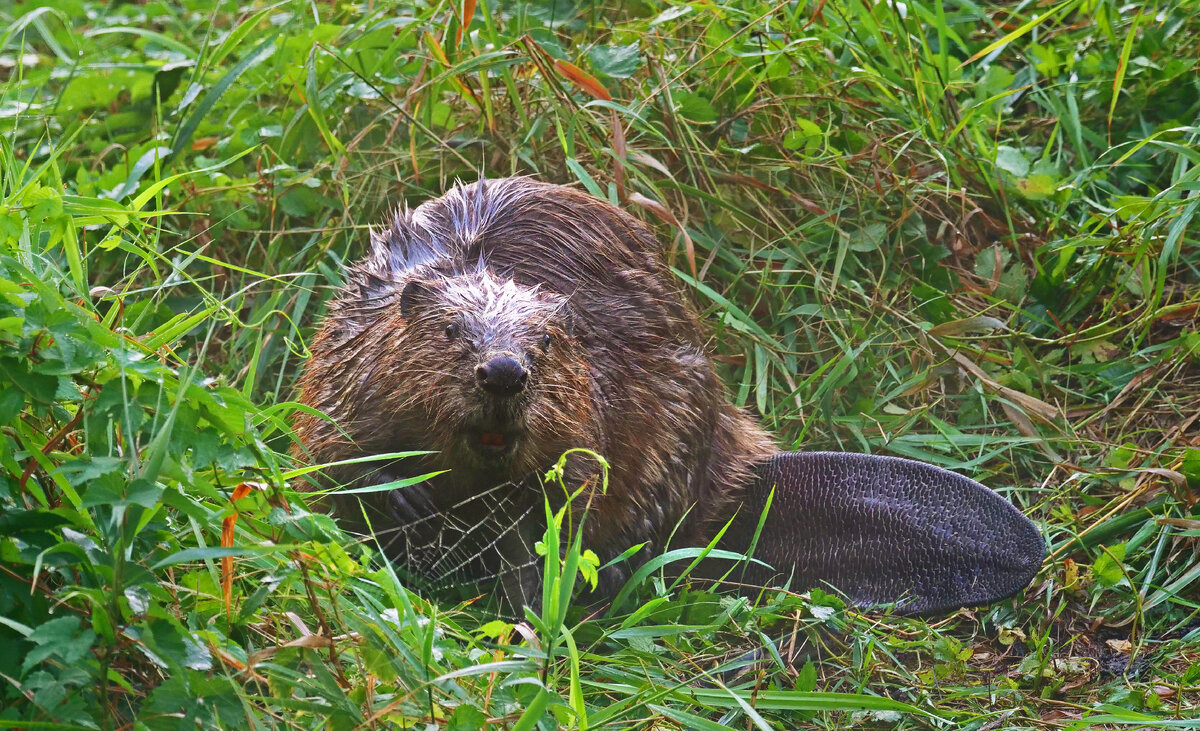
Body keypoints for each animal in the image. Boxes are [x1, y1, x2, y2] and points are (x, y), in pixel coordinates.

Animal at [295, 180, 1046, 612]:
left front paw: (523, 574)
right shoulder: (347, 358)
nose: (504, 373)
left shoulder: (606, 402)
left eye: (546, 342)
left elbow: (563, 501)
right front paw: (405, 497)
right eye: (451, 330)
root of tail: (745, 484)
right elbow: (332, 453)